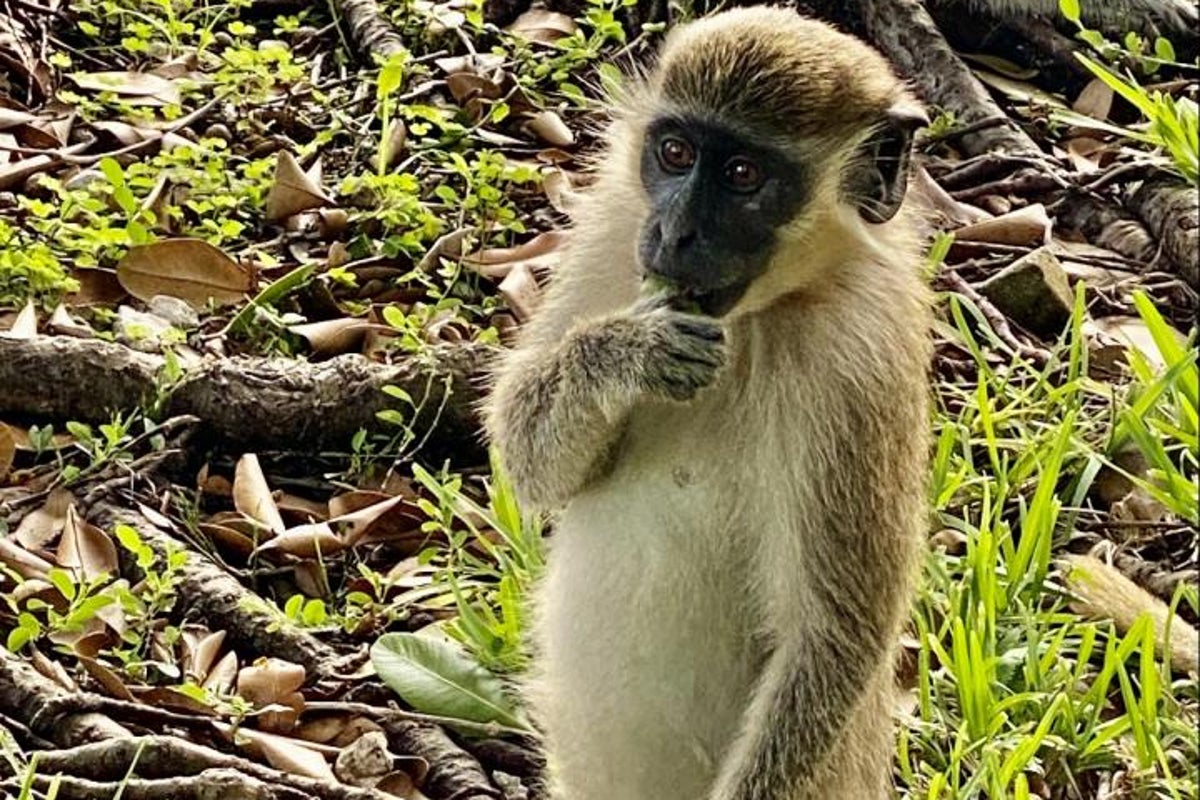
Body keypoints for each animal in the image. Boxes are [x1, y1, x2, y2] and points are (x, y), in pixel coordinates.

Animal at [485, 7, 932, 800]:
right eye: (675, 152)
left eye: (743, 175)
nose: (674, 233)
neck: (759, 316)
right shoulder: (613, 221)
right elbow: (526, 456)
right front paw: (626, 352)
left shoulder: (860, 361)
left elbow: (831, 637)